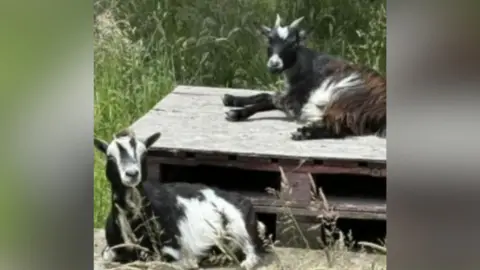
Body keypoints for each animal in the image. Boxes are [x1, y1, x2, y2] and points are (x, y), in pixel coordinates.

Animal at [93, 129, 266, 270]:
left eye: (144, 154)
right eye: (110, 157)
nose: (132, 174)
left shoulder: (174, 252)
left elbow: (160, 263)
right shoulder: (111, 248)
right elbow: (107, 257)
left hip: (241, 226)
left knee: (252, 250)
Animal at [222, 14, 386, 141]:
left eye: (293, 44)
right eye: (269, 41)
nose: (274, 64)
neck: (303, 66)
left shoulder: (296, 99)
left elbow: (269, 100)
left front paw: (237, 113)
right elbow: (264, 95)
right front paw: (231, 99)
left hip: (345, 96)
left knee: (337, 126)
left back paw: (304, 133)